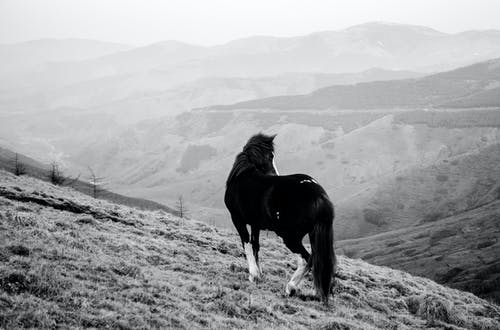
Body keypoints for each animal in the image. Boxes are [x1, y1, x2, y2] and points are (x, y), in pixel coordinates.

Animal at [226, 133, 336, 302]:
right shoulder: (256, 224)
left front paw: (253, 275)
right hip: (313, 234)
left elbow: (246, 244)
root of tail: (319, 194)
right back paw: (315, 292)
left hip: (290, 237)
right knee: (319, 261)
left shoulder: (237, 219)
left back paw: (291, 287)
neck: (243, 176)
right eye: (270, 156)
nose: (274, 174)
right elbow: (255, 245)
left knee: (307, 259)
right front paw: (259, 274)